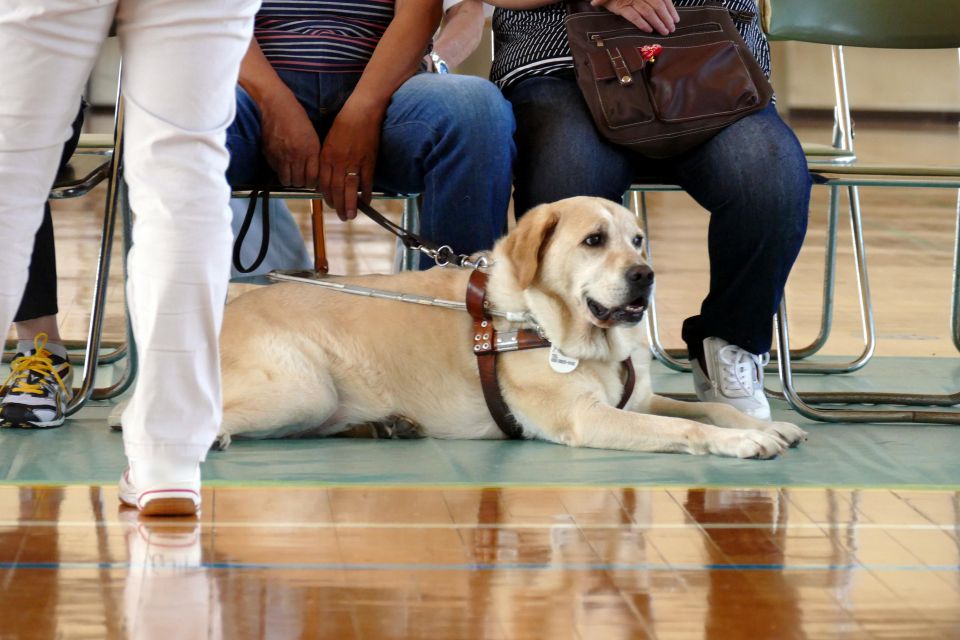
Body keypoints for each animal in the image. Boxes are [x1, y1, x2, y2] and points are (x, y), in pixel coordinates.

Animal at [204, 194, 808, 456]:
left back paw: (386, 425)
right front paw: (742, 441)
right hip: (305, 390)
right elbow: (685, 427)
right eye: (594, 240)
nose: (646, 275)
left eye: (637, 239)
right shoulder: (589, 418)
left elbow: (708, 408)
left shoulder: (636, 400)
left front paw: (763, 425)